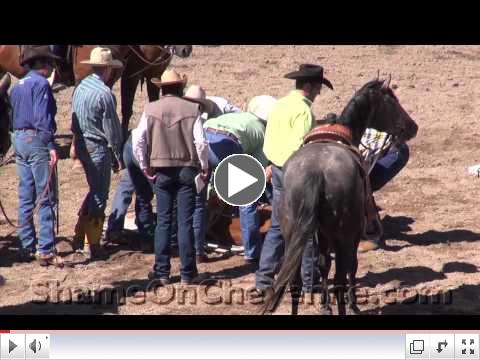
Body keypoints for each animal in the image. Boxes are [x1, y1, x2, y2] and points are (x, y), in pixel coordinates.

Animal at [262, 76, 416, 316]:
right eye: (392, 101)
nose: (412, 127)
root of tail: (316, 171)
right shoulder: (353, 234)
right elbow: (351, 267)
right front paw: (353, 305)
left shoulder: (323, 234)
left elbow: (323, 264)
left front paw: (325, 305)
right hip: (344, 233)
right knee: (340, 278)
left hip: (292, 232)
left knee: (294, 281)